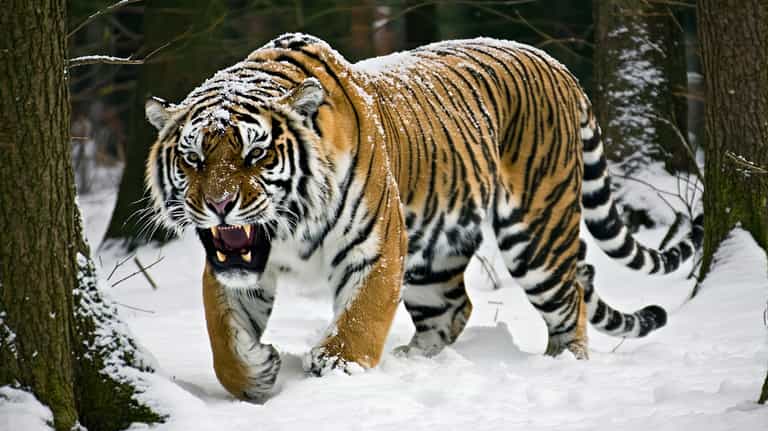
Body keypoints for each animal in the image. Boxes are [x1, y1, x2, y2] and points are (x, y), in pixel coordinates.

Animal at [144, 33, 703, 401]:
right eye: (193, 158)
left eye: (255, 154)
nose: (219, 205)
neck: (288, 230)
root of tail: (555, 64)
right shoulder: (232, 264)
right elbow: (224, 339)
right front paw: (257, 372)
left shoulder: (375, 246)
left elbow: (361, 317)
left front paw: (339, 369)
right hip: (434, 257)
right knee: (455, 308)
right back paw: (413, 360)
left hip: (536, 236)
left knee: (571, 302)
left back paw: (563, 365)